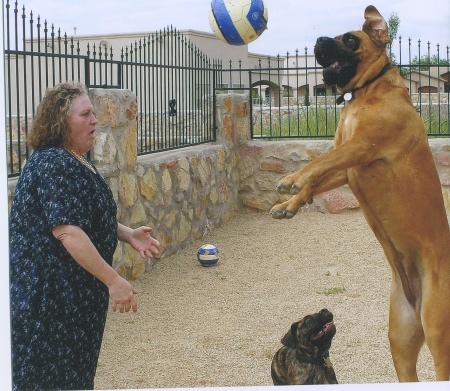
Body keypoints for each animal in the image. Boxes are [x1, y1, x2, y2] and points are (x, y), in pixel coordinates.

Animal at [270, 3, 450, 382]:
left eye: (350, 40)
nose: (319, 41)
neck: (368, 92)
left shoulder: (360, 147)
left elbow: (318, 162)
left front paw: (292, 178)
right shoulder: (347, 168)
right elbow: (318, 178)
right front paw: (290, 204)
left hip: (441, 337)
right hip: (401, 343)